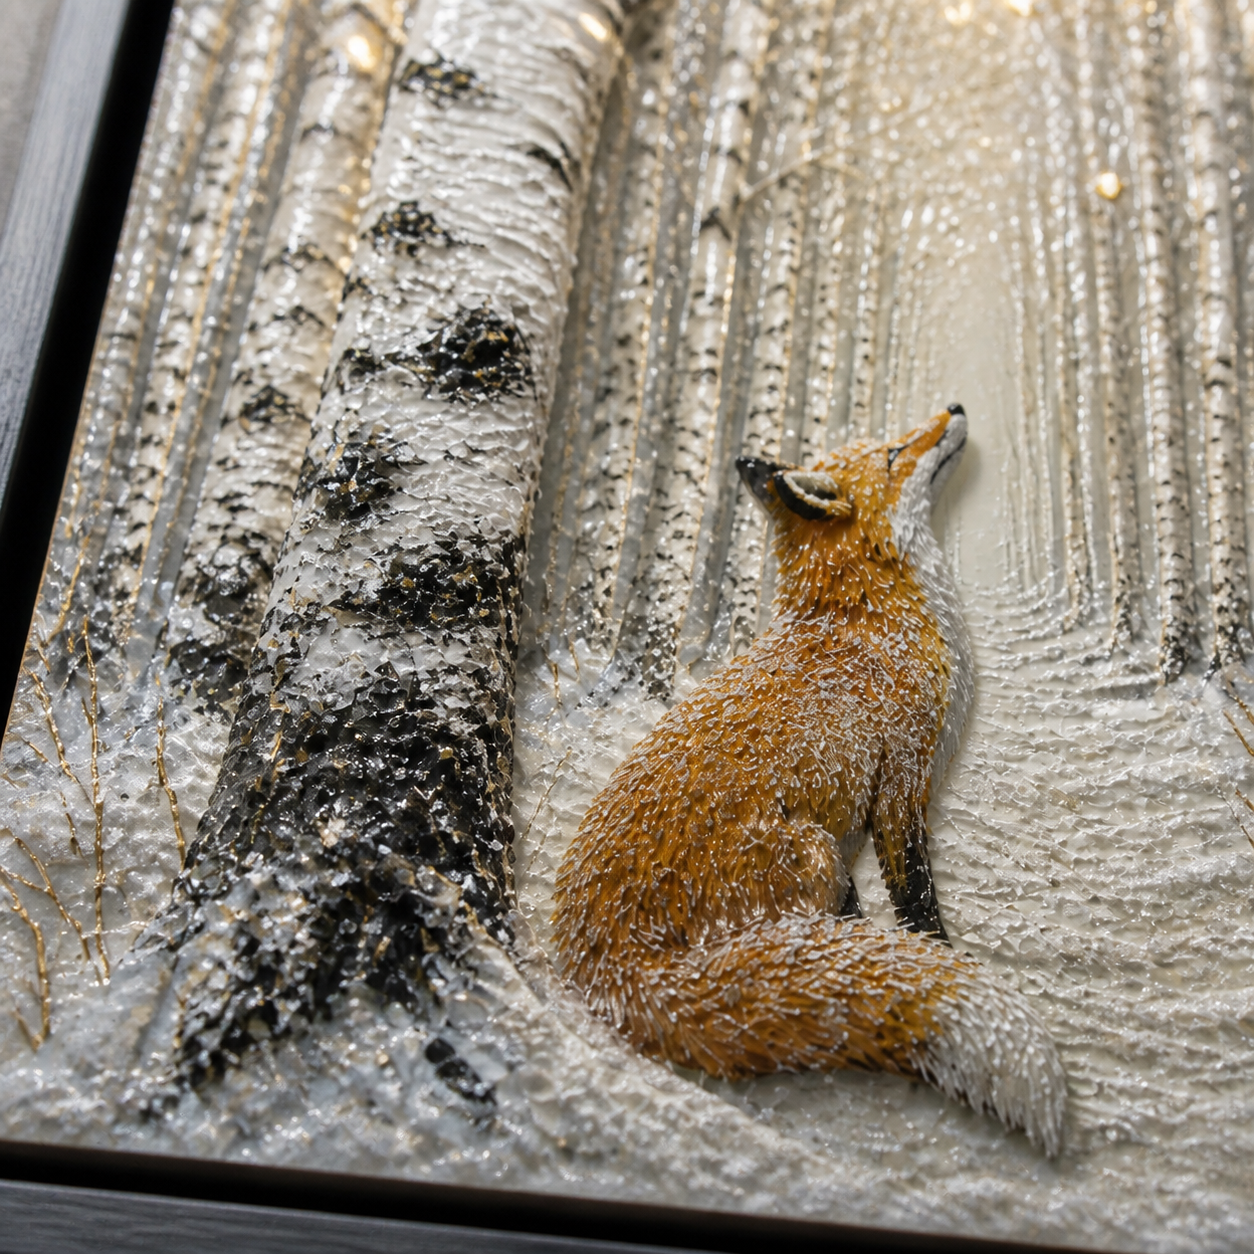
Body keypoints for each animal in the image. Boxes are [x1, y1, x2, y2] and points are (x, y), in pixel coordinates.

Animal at [553, 405, 1066, 1155]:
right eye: (893, 454)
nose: (956, 408)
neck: (870, 613)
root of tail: (605, 967)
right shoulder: (902, 782)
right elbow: (917, 901)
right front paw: (939, 956)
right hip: (814, 854)